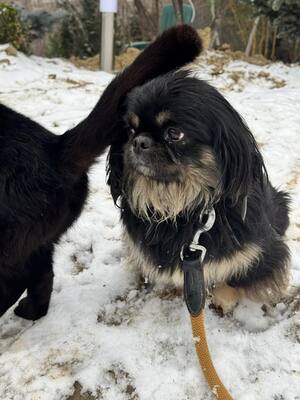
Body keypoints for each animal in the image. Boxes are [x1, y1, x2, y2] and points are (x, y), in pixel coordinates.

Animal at [108, 69, 290, 312]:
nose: (139, 141)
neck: (179, 207)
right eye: (130, 131)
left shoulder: (263, 251)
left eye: (174, 133)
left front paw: (224, 298)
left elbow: (239, 273)